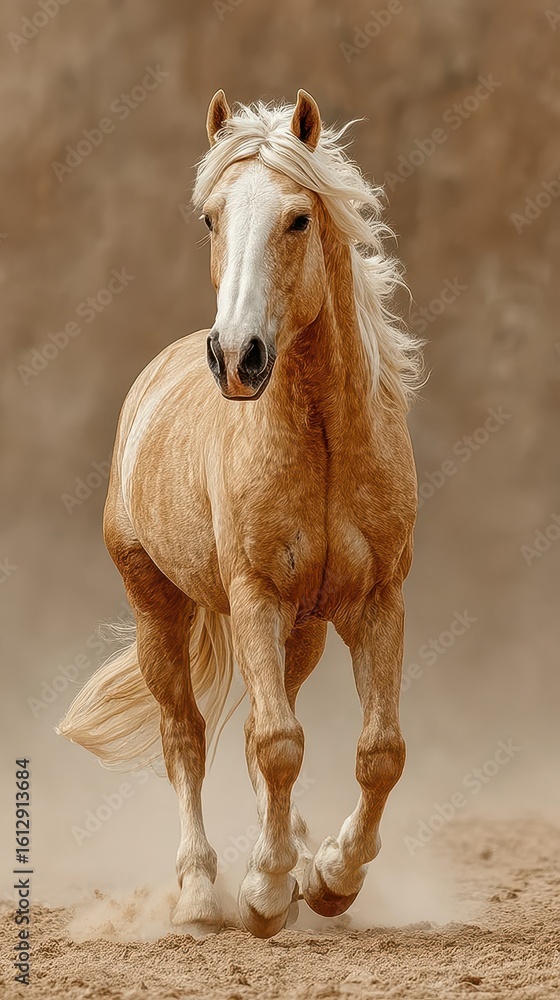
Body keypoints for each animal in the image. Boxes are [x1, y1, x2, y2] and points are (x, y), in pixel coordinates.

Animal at [58, 89, 423, 939]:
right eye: (210, 218)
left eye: (298, 219)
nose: (237, 356)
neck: (321, 440)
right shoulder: (254, 595)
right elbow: (276, 742)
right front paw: (264, 893)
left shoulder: (377, 601)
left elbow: (377, 752)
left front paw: (328, 877)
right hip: (159, 609)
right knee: (186, 736)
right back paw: (198, 893)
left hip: (302, 630)